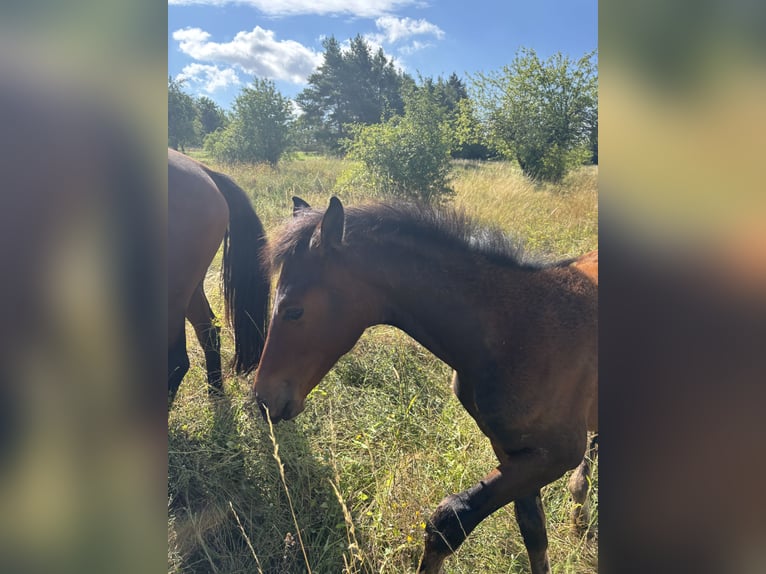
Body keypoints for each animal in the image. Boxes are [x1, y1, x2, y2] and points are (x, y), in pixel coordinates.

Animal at [253, 196, 598, 574]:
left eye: (294, 311)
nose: (263, 397)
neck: (513, 330)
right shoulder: (512, 449)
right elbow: (532, 528)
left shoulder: (558, 453)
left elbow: (448, 521)